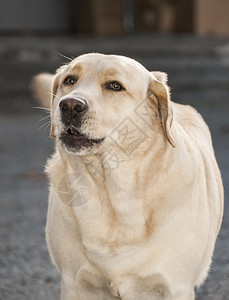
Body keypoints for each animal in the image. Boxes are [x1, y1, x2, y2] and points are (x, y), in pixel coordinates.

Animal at [32, 52, 224, 298]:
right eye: (69, 80)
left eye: (115, 86)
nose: (69, 105)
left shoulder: (175, 286)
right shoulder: (74, 284)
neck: (111, 192)